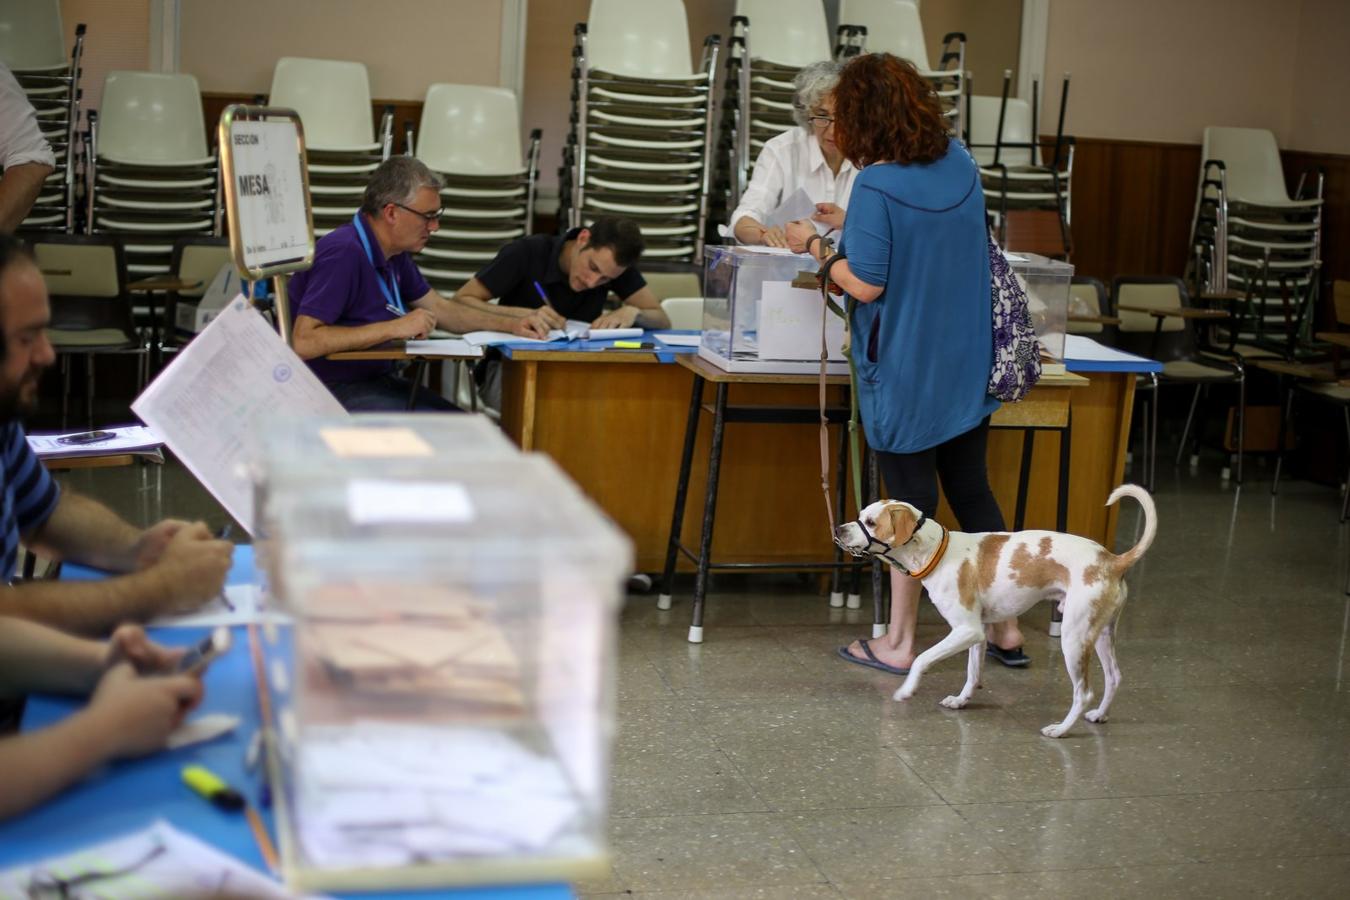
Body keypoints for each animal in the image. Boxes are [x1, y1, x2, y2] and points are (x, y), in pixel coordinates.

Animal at [837, 485, 1155, 739]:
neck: (938, 552)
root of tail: (1113, 560)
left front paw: (907, 689)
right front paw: (962, 700)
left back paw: (1061, 729)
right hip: (1100, 634)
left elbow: (921, 659)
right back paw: (1100, 714)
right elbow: (972, 673)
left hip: (1074, 639)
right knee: (1114, 677)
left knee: (1084, 692)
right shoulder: (977, 635)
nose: (838, 529)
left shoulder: (966, 630)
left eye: (871, 522)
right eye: (861, 514)